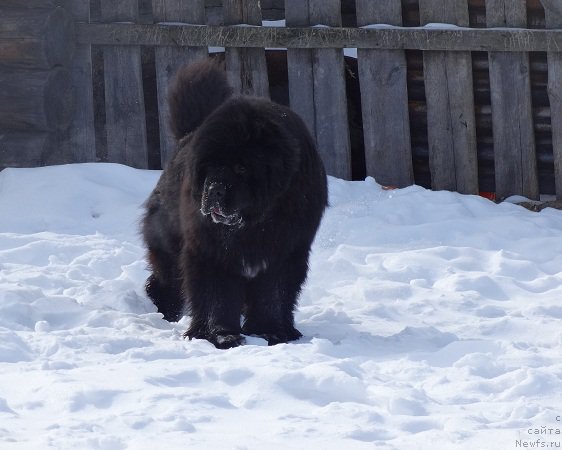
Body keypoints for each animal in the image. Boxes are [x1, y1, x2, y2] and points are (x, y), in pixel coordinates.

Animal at [141, 59, 328, 348]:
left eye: (241, 167)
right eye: (209, 167)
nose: (214, 189)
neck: (254, 223)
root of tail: (187, 135)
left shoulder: (285, 250)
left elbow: (274, 293)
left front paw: (271, 331)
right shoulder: (210, 250)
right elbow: (215, 295)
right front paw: (218, 334)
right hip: (168, 241)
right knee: (166, 280)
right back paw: (166, 312)